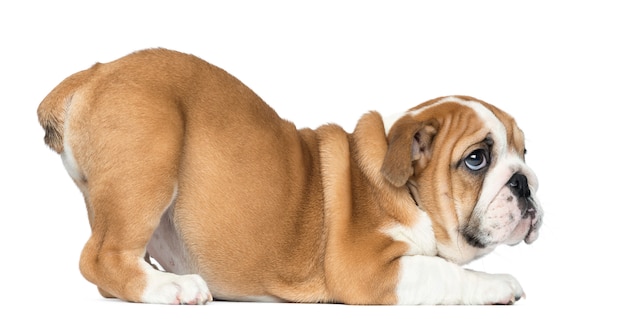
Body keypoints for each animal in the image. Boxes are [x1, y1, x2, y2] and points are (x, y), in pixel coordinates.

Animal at [37, 48, 540, 306]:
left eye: (524, 152)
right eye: (476, 159)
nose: (524, 182)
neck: (408, 193)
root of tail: (93, 73)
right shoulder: (369, 271)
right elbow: (443, 271)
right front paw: (499, 283)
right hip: (149, 162)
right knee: (99, 256)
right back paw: (171, 288)